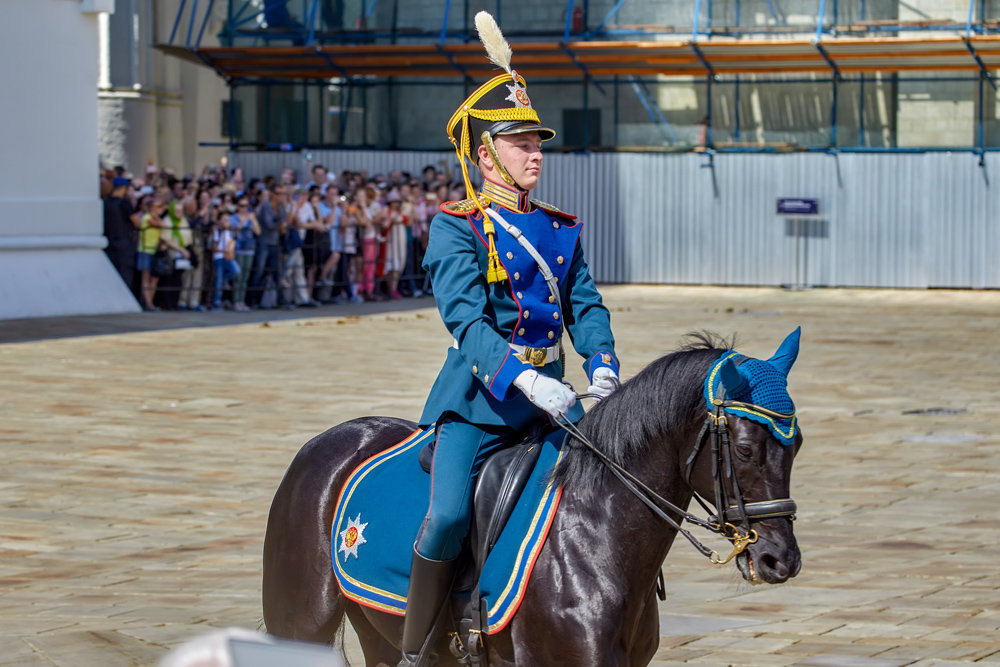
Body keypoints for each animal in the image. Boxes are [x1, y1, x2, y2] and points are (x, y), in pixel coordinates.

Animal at [262, 334, 800, 667]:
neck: (598, 534)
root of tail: (329, 440)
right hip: (300, 624)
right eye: (745, 449)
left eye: (795, 444)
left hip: (377, 632)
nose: (782, 560)